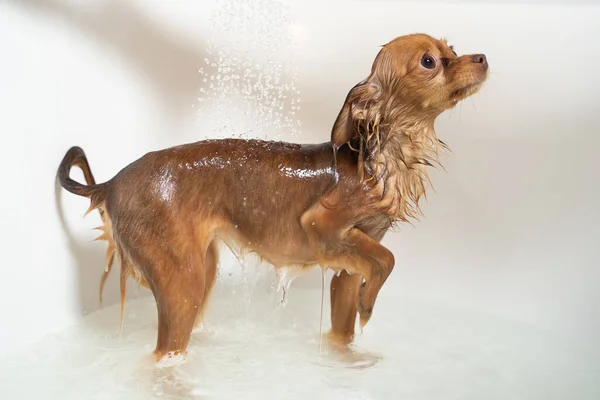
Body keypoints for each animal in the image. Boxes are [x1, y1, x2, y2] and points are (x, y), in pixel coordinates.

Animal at [57, 32, 488, 360]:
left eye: (451, 50)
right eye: (430, 61)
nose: (482, 57)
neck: (381, 159)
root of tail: (112, 182)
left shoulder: (348, 266)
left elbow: (346, 321)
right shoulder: (323, 228)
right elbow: (387, 259)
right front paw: (369, 305)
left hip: (201, 265)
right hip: (182, 279)